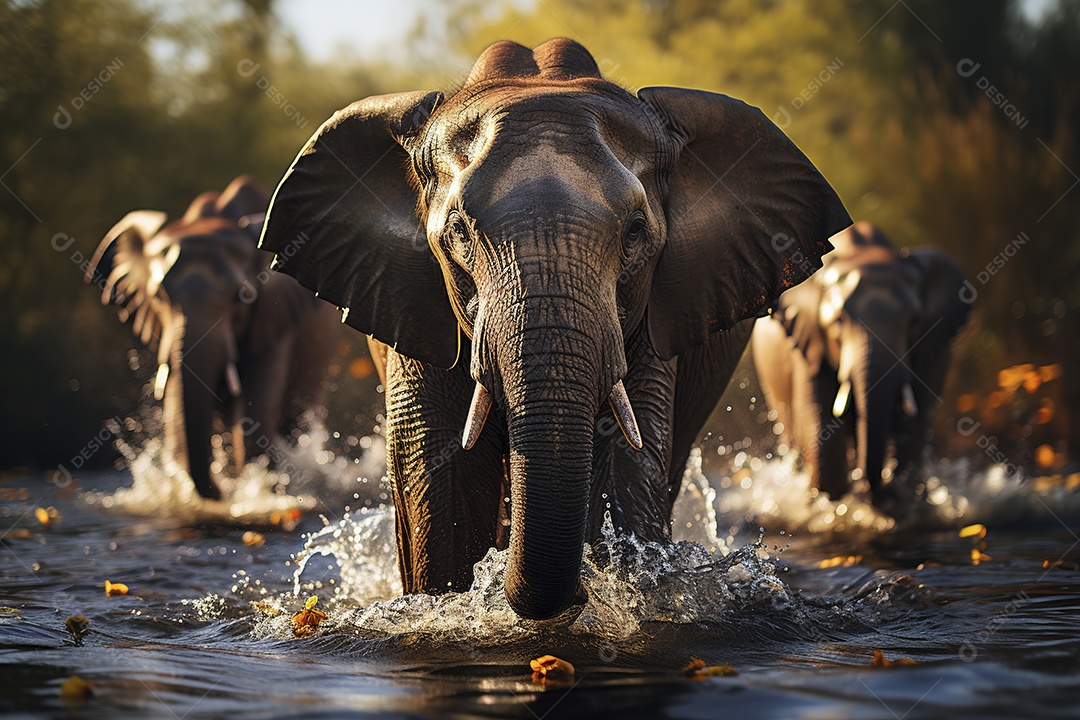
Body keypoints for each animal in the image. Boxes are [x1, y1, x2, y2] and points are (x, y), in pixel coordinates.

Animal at [86, 176, 341, 500]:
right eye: (159, 296)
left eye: (243, 296)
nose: (222, 493)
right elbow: (178, 420)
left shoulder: (274, 318)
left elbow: (254, 422)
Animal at [751, 221, 971, 508]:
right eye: (838, 322)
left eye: (914, 322)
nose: (875, 490)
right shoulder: (809, 346)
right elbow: (824, 443)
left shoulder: (932, 349)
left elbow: (914, 429)